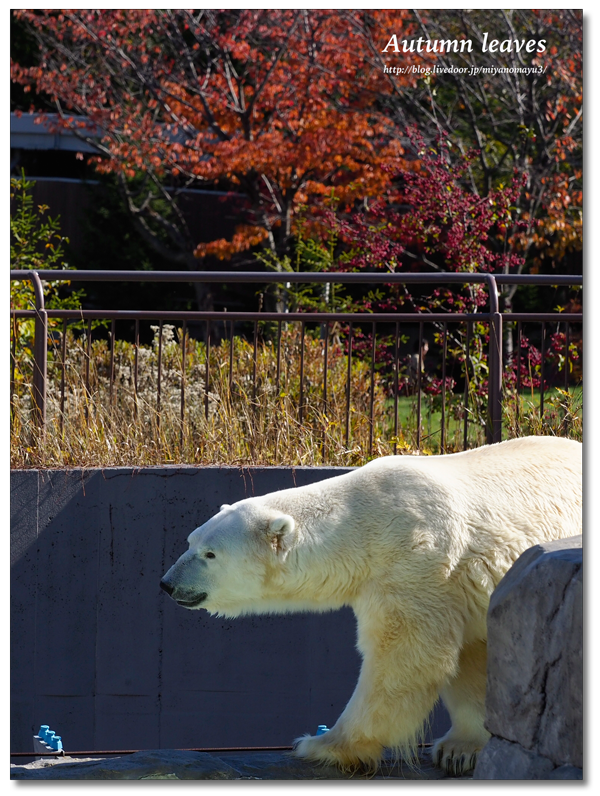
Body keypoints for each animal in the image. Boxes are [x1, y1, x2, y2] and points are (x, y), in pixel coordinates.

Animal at [159, 438, 580, 776]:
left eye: (210, 554)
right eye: (191, 540)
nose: (167, 583)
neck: (362, 523)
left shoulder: (418, 562)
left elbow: (404, 658)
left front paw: (323, 745)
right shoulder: (460, 587)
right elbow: (469, 658)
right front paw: (461, 749)